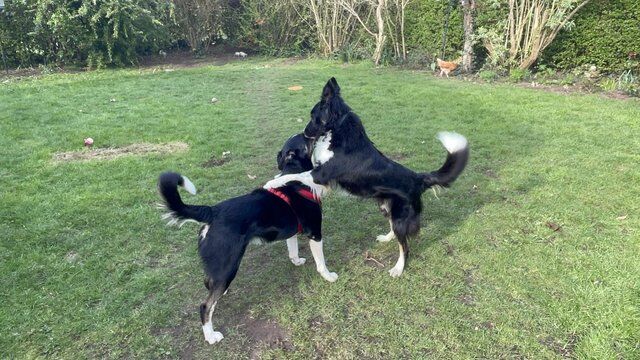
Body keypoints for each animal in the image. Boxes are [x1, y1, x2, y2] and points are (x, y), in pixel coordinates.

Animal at [157, 134, 336, 344]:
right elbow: (321, 262)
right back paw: (211, 336)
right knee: (205, 306)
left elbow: (292, 250)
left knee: (209, 282)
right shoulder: (315, 232)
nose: (313, 132)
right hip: (228, 265)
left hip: (219, 266)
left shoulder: (291, 231)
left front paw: (297, 261)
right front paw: (328, 276)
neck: (294, 176)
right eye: (305, 137)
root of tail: (212, 211)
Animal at [262, 77, 468, 278]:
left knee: (405, 246)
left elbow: (294, 175)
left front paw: (271, 182)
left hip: (400, 216)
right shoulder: (320, 176)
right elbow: (295, 174)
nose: (304, 133)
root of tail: (418, 178)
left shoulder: (320, 175)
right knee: (396, 232)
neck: (338, 129)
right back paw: (387, 238)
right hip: (386, 207)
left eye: (313, 117)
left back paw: (398, 269)